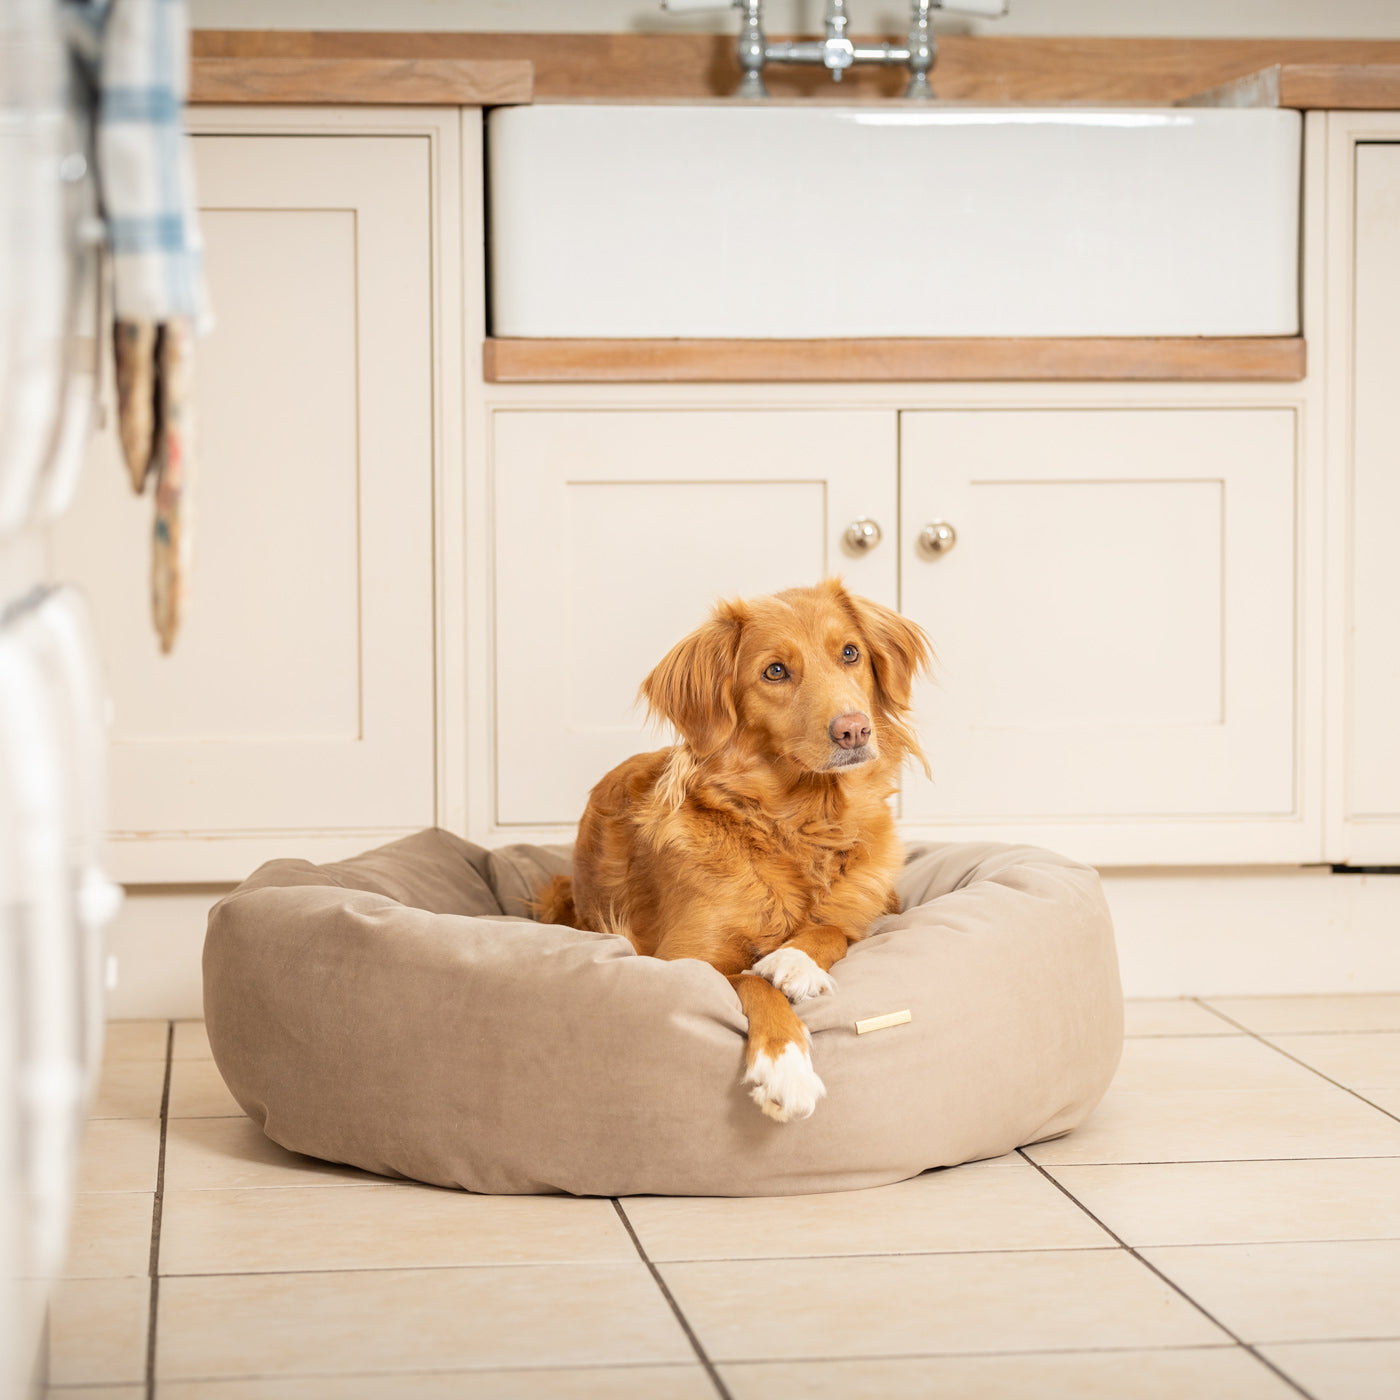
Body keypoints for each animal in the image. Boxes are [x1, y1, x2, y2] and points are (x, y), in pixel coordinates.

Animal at [532, 579, 929, 1125]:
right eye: (775, 671)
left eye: (850, 653)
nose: (854, 729)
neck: (804, 824)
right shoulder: (682, 959)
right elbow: (750, 981)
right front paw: (786, 1070)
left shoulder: (861, 915)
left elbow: (830, 930)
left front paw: (795, 960)